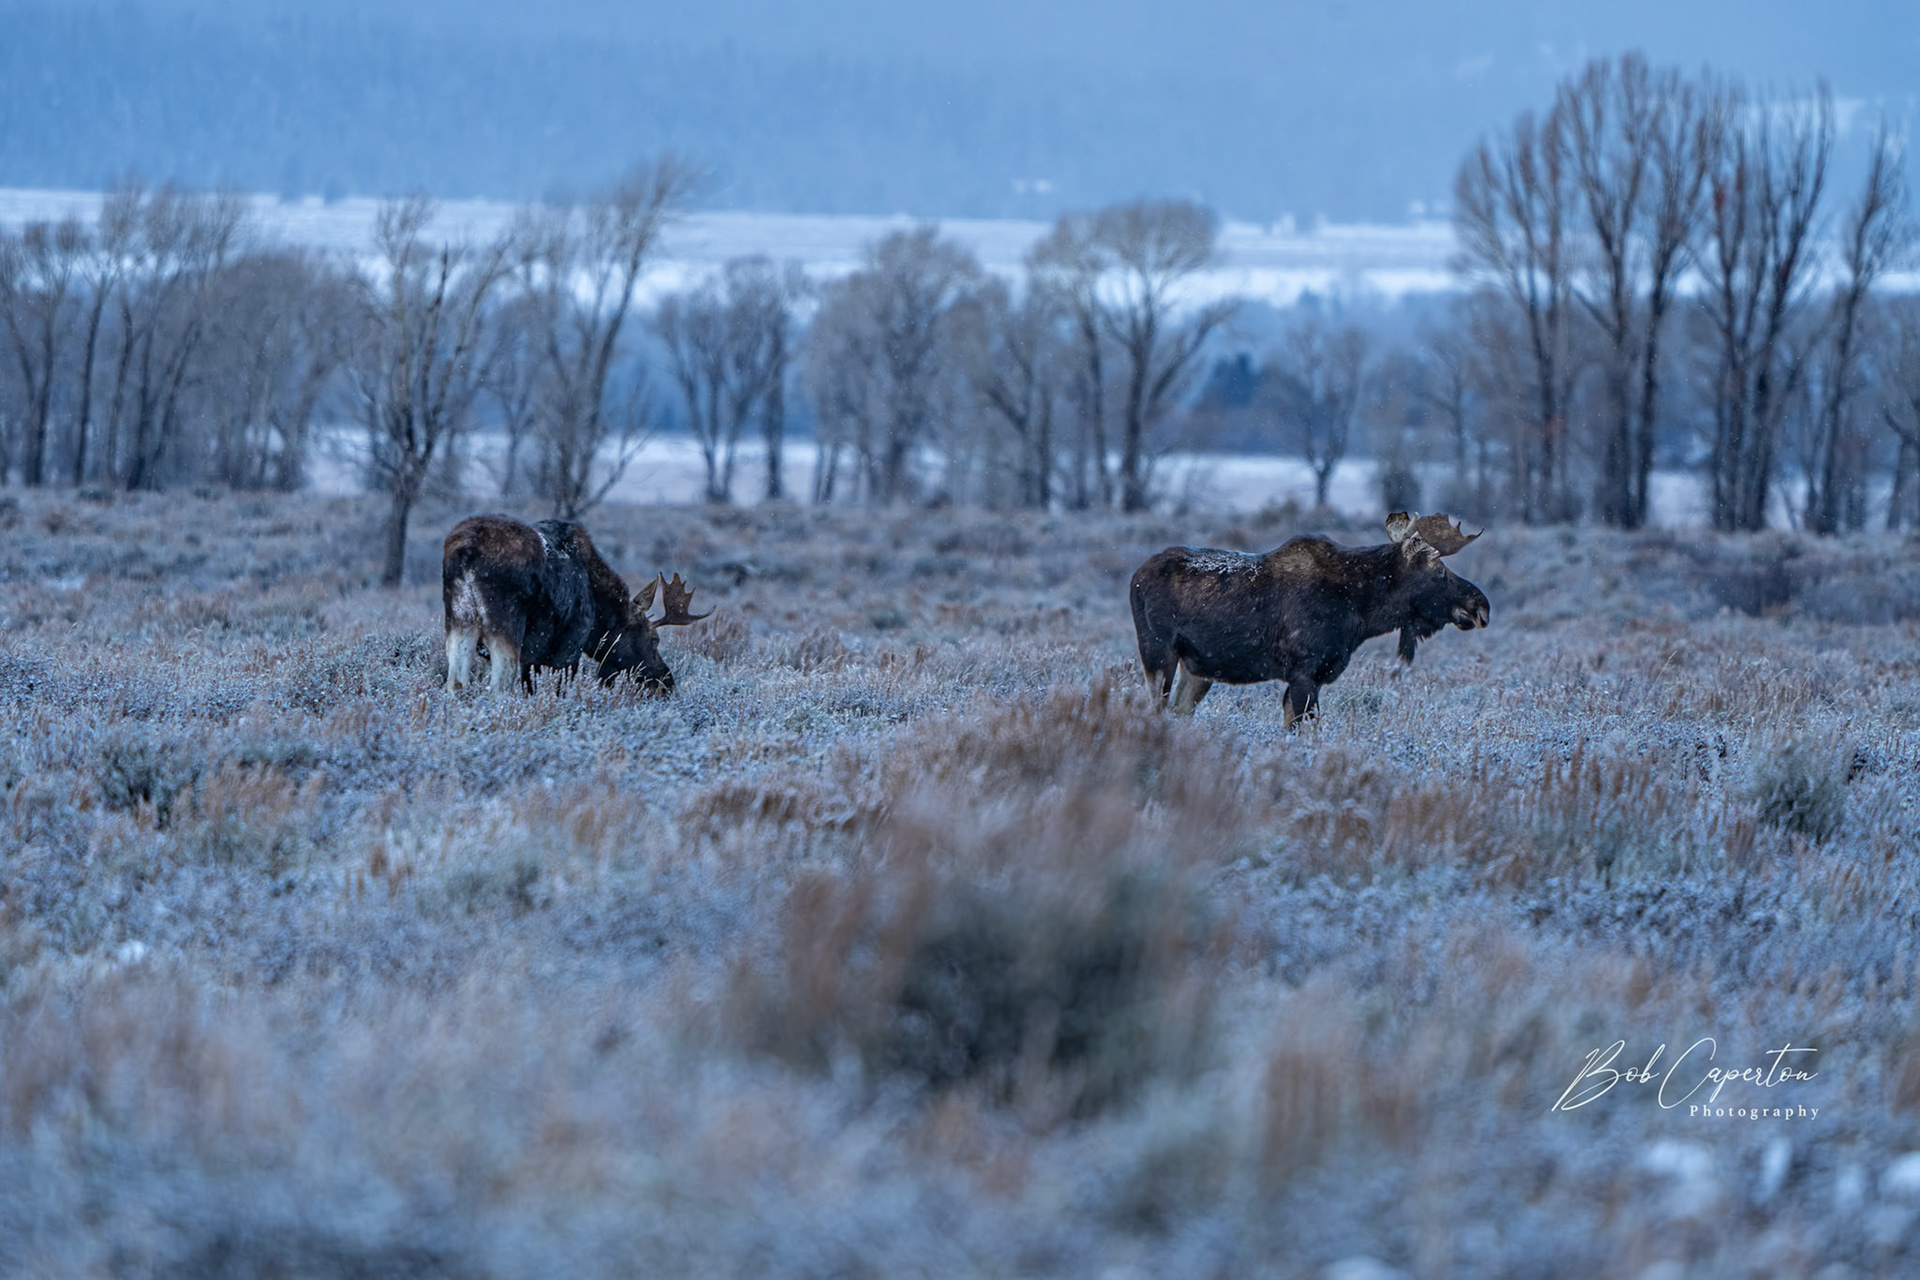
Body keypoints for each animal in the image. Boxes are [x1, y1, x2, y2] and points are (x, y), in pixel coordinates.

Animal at [442, 514, 710, 696]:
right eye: (654, 640)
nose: (667, 682)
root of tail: (465, 551)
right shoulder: (569, 648)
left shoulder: (532, 658)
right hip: (505, 628)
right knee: (499, 688)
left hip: (459, 621)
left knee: (456, 683)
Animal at [1128, 511, 1490, 727]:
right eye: (1439, 570)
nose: (1481, 605)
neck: (1360, 613)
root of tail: (1135, 578)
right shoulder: (1304, 672)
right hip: (1159, 652)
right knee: (1155, 708)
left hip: (1198, 669)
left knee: (1178, 710)